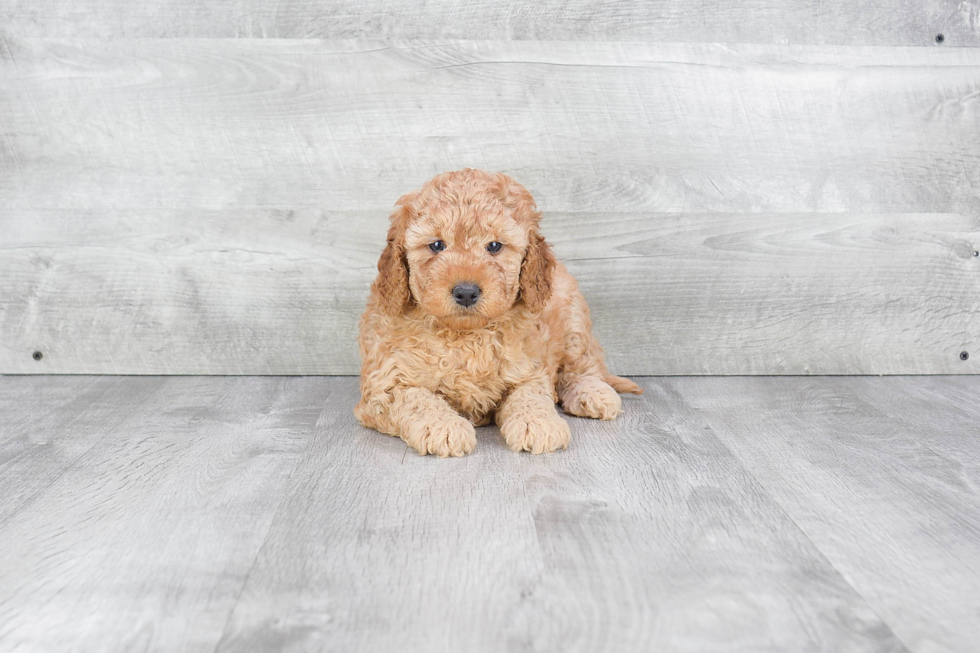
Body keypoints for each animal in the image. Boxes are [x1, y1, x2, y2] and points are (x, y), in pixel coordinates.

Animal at [356, 166, 640, 456]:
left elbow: (530, 394)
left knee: (581, 364)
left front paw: (537, 423)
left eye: (494, 246)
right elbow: (416, 398)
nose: (466, 292)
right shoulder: (384, 384)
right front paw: (444, 426)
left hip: (573, 315)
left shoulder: (530, 368)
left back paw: (593, 392)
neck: (466, 335)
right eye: (437, 245)